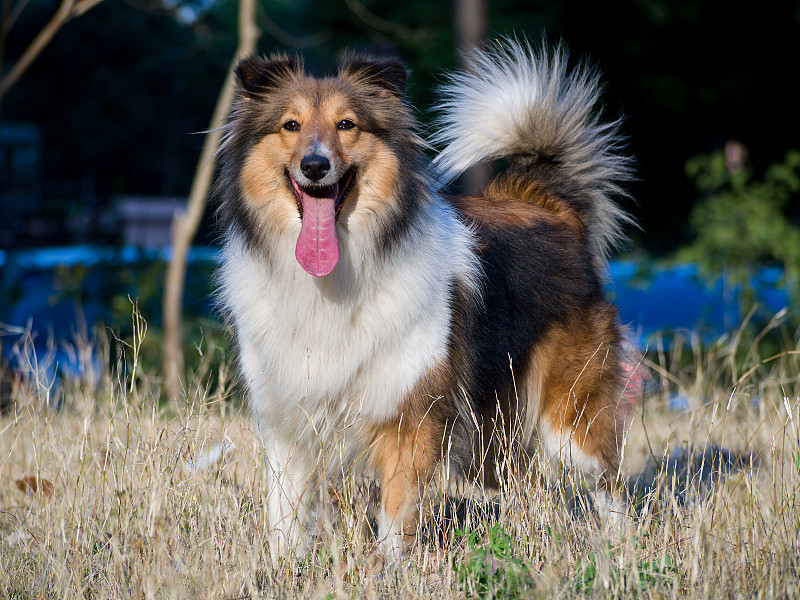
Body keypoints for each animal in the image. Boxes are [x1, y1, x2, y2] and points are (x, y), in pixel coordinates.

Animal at [217, 39, 636, 560]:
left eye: (347, 124)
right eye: (290, 125)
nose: (314, 166)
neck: (336, 275)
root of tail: (546, 204)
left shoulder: (411, 420)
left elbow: (395, 524)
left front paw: (390, 570)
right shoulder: (284, 423)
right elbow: (283, 520)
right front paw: (280, 569)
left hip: (569, 421)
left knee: (609, 483)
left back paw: (619, 552)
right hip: (492, 436)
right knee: (527, 483)